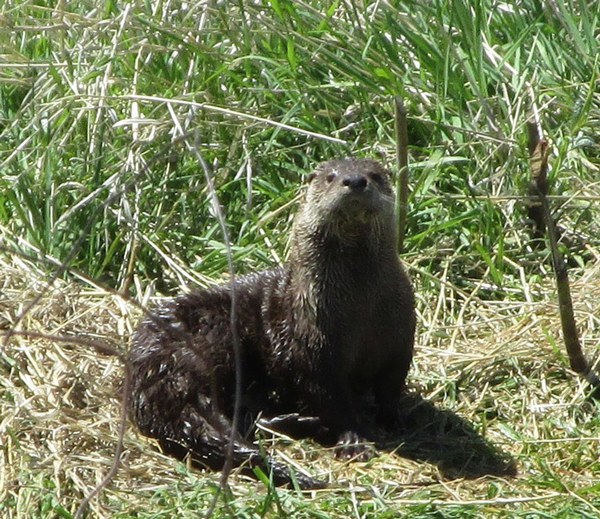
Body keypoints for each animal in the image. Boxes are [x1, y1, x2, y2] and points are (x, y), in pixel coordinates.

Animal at [129, 157, 414, 488]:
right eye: (331, 177)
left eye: (375, 175)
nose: (354, 181)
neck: (361, 311)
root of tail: (154, 374)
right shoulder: (312, 345)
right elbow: (330, 398)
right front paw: (353, 441)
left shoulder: (401, 335)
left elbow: (392, 384)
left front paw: (394, 419)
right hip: (215, 339)